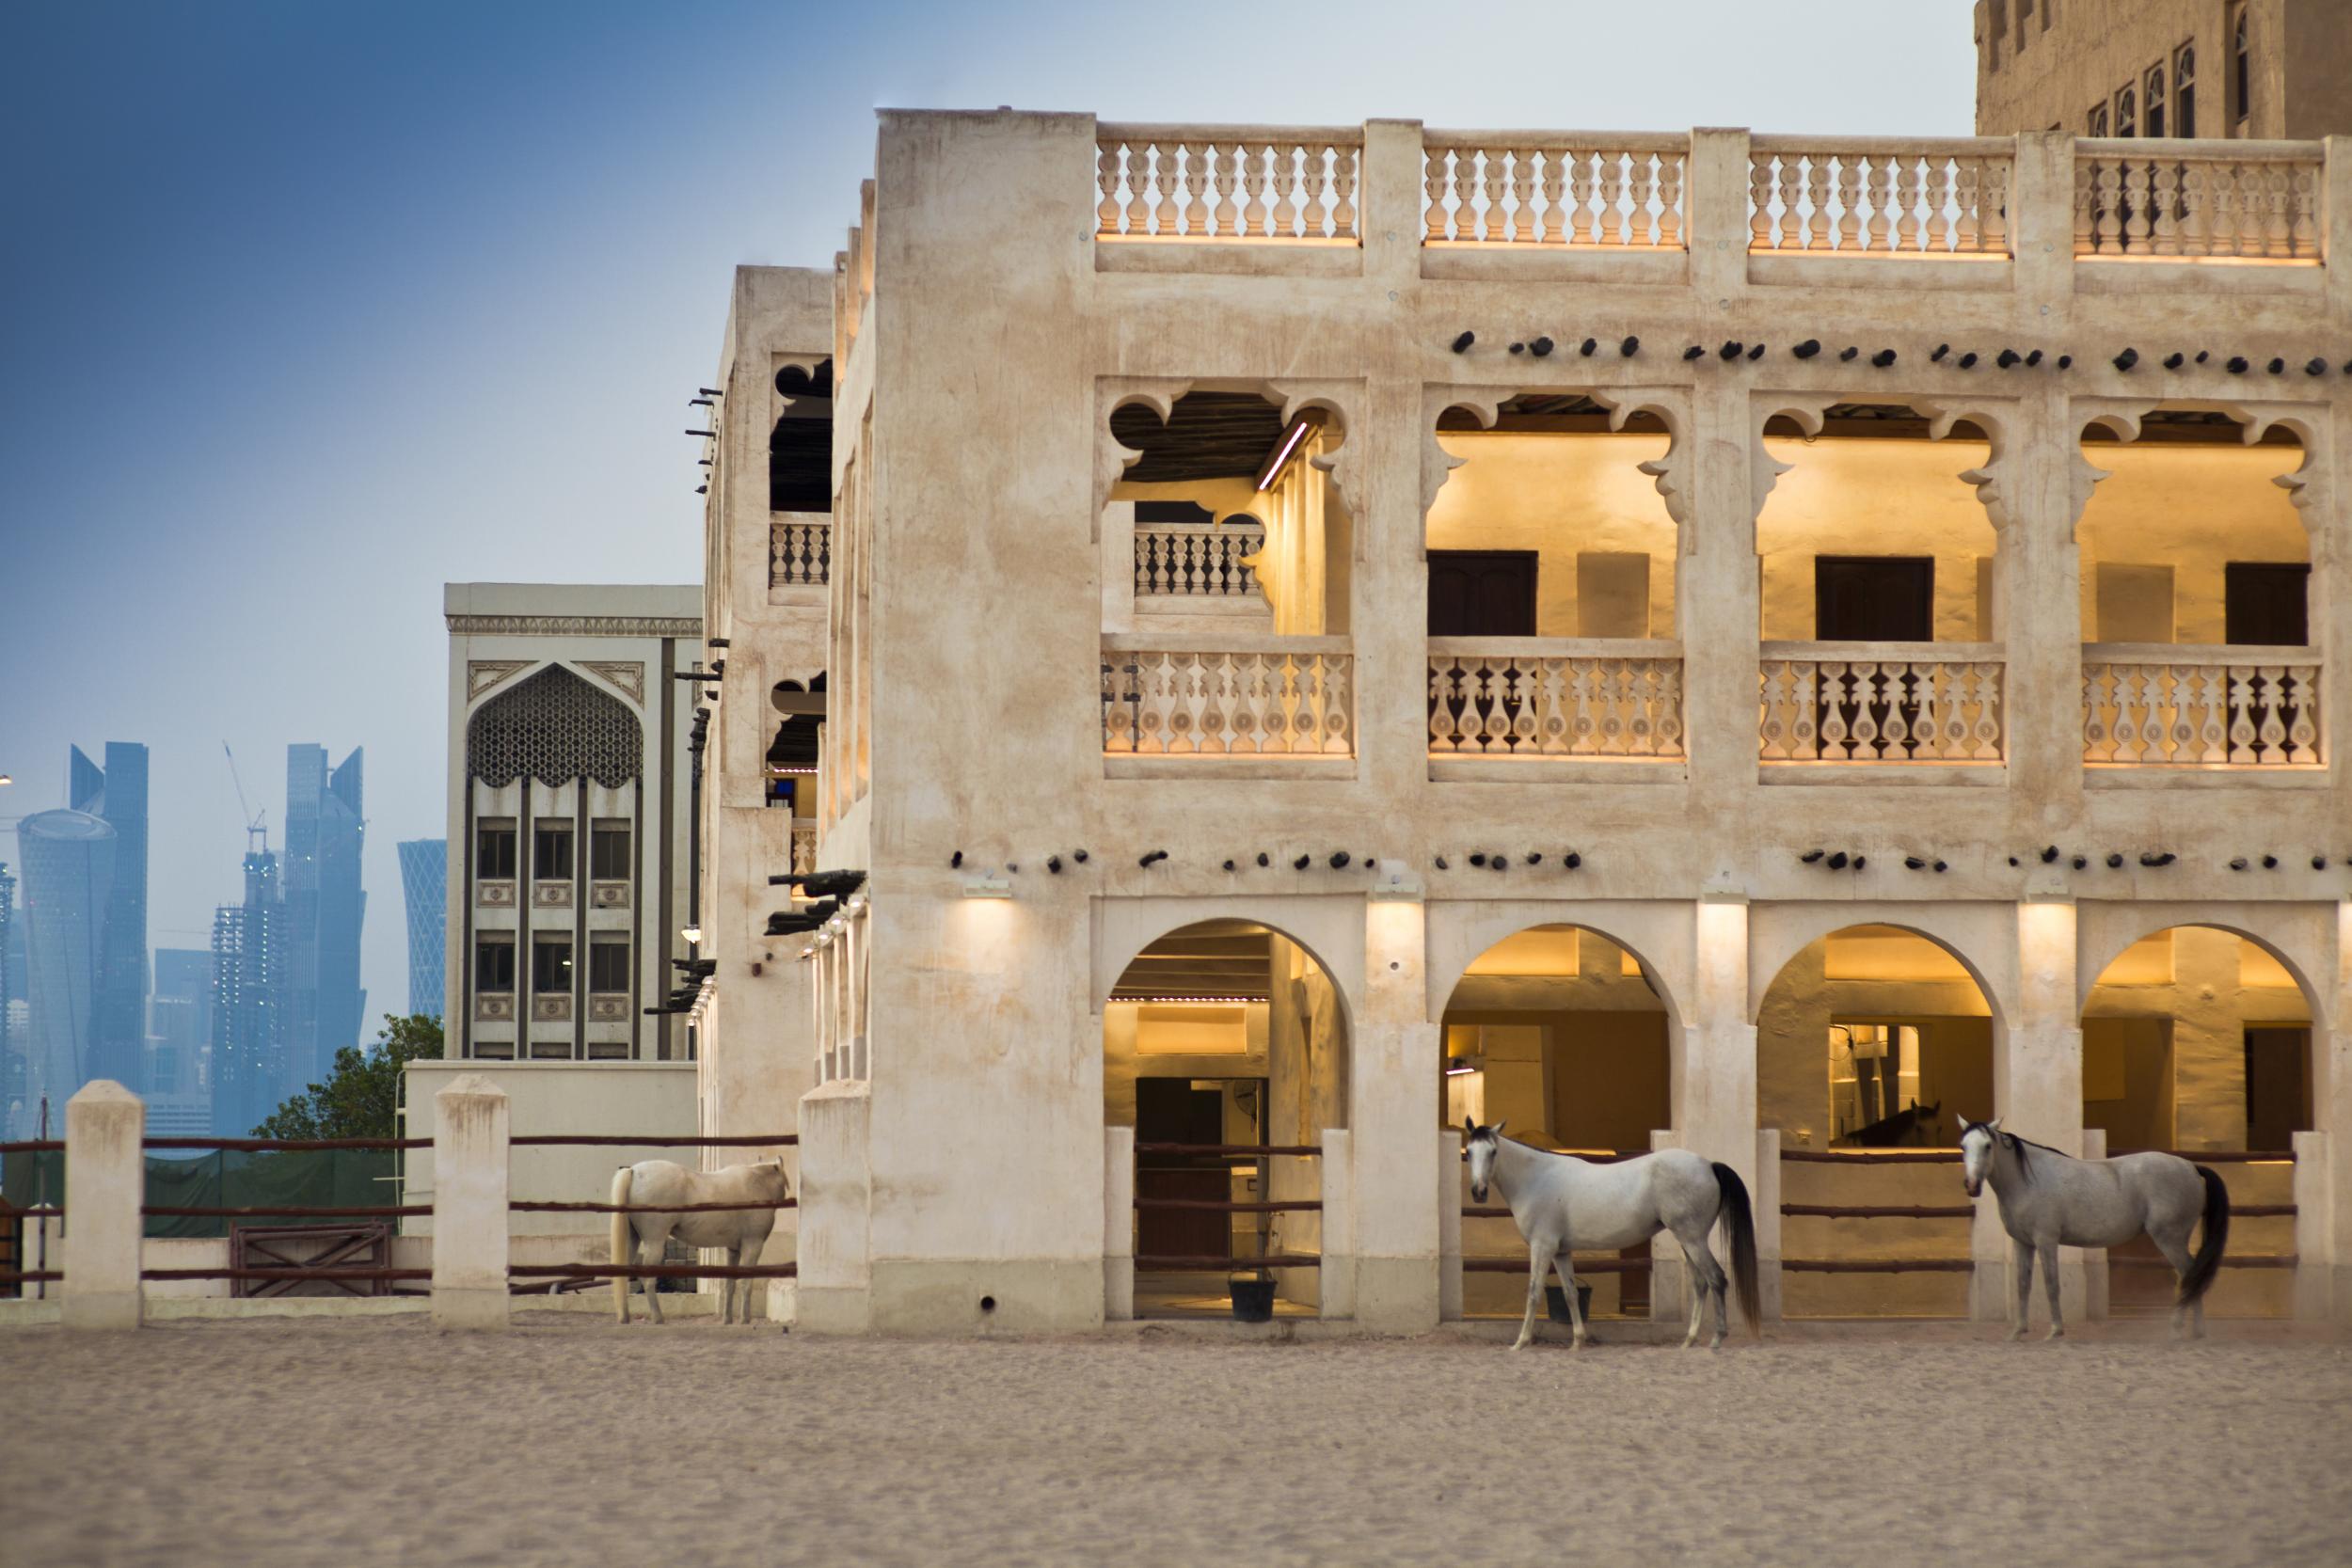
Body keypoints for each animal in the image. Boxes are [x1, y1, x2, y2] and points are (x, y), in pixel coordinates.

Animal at [607, 1165, 790, 1325]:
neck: (758, 1183)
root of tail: (634, 1170)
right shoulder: (753, 1245)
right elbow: (746, 1284)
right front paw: (745, 1320)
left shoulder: (733, 1249)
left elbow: (729, 1284)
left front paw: (727, 1320)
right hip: (655, 1242)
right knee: (648, 1280)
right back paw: (658, 1318)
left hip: (633, 1239)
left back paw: (625, 1317)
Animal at [1458, 1123, 1759, 1354]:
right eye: (1469, 1152)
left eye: (1493, 1152)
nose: (1478, 1192)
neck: (1536, 1178)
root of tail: (1708, 1165)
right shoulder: (1561, 1252)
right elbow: (1570, 1294)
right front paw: (1577, 1343)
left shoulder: (1542, 1247)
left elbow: (1533, 1293)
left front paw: (1520, 1343)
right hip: (1688, 1240)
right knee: (1700, 1284)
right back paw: (1688, 1341)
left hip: (1693, 1239)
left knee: (1716, 1278)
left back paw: (1717, 1339)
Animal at [1957, 1123, 2230, 1344]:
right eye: (1963, 1146)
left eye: (1987, 1146)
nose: (1971, 1185)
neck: (2028, 1180)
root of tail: (2191, 1167)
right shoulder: (2023, 1243)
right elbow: (2023, 1285)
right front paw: (2017, 1332)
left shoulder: (2046, 1240)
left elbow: (2051, 1284)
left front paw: (2055, 1331)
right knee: (2192, 1276)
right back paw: (2196, 1332)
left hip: (2170, 1238)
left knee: (2191, 1274)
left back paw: (2178, 1330)